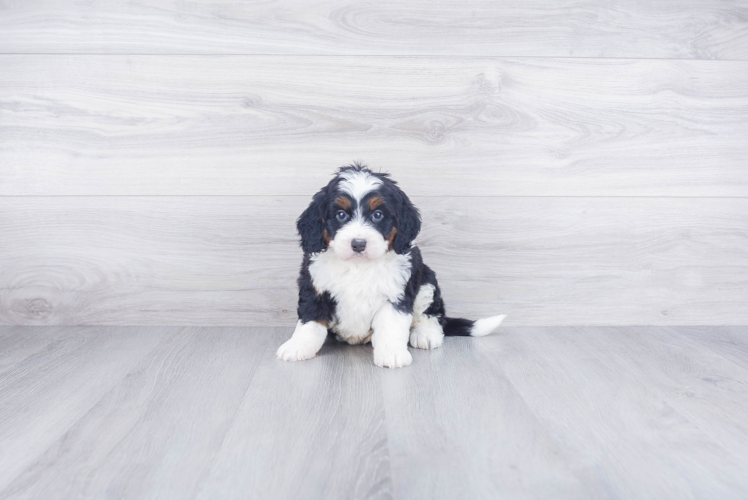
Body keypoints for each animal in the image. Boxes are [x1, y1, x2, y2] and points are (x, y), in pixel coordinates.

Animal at [278, 164, 506, 368]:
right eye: (341, 215)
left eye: (377, 215)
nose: (358, 244)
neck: (358, 266)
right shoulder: (315, 287)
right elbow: (310, 322)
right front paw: (297, 347)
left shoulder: (396, 294)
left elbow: (391, 326)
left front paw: (392, 355)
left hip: (426, 283)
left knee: (431, 315)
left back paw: (425, 334)